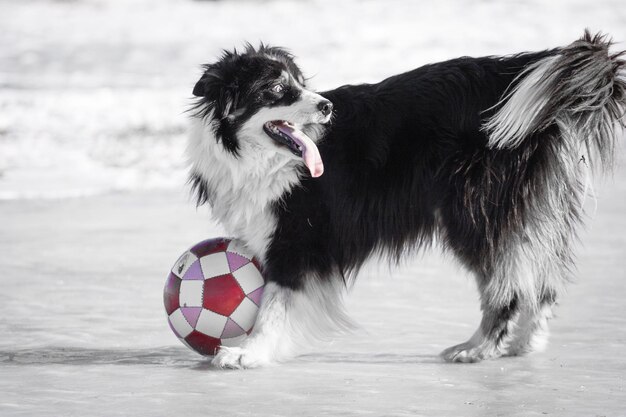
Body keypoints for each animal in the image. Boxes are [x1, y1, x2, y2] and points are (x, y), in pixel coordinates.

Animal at [186, 32, 624, 368]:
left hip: (472, 211)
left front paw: (248, 353)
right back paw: (524, 343)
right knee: (540, 278)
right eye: (276, 90)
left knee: (505, 286)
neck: (258, 158)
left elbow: (273, 303)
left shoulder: (297, 237)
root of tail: (511, 73)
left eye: (299, 82)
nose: (327, 106)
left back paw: (477, 348)